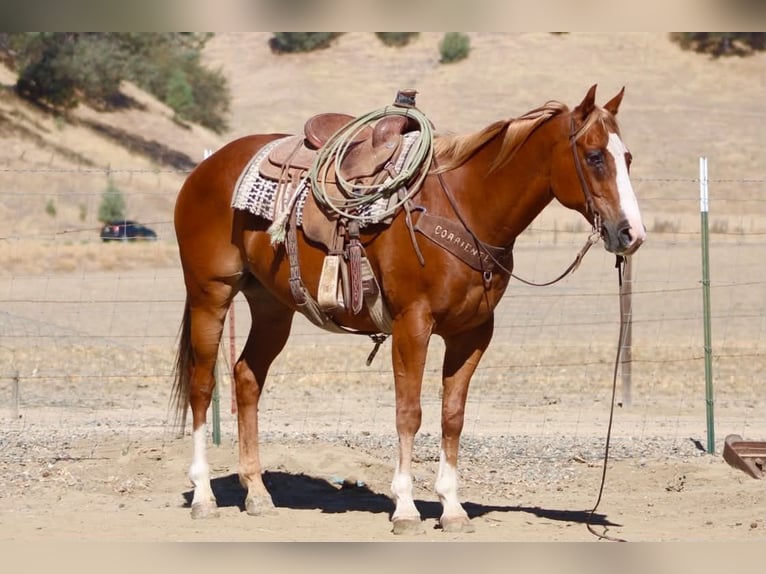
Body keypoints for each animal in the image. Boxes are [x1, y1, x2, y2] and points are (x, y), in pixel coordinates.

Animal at [171, 84, 646, 534]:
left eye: (627, 157)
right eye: (594, 156)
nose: (631, 233)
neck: (466, 205)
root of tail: (203, 170)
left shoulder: (473, 333)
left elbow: (452, 416)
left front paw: (452, 509)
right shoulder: (412, 325)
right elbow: (409, 413)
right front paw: (405, 508)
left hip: (272, 307)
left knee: (247, 377)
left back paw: (256, 493)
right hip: (210, 294)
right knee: (202, 385)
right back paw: (203, 496)